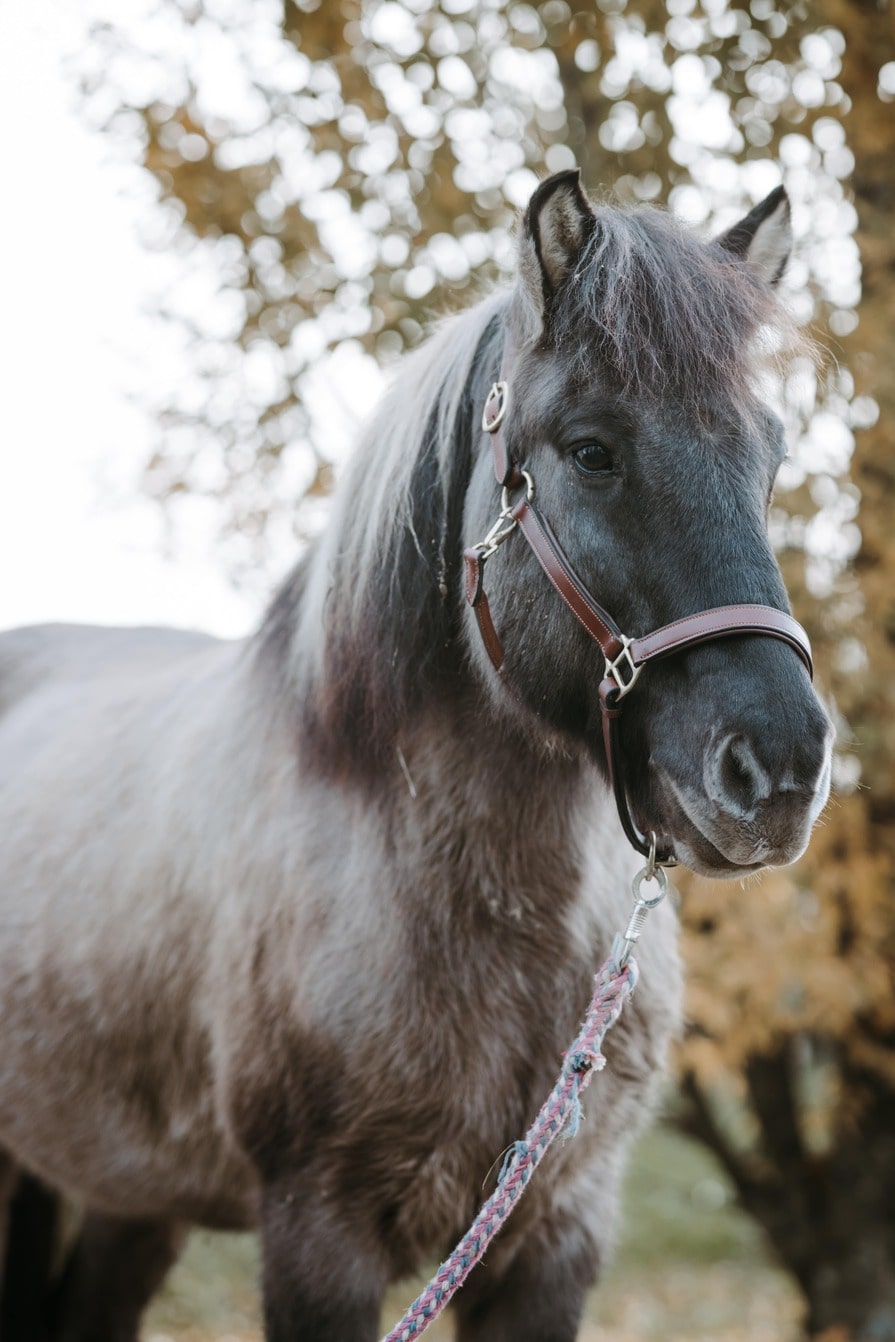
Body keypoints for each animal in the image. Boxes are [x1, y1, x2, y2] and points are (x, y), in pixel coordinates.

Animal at [0, 169, 833, 1342]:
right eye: (591, 450)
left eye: (771, 453)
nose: (780, 770)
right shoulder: (318, 1236)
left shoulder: (554, 1235)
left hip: (131, 1199)